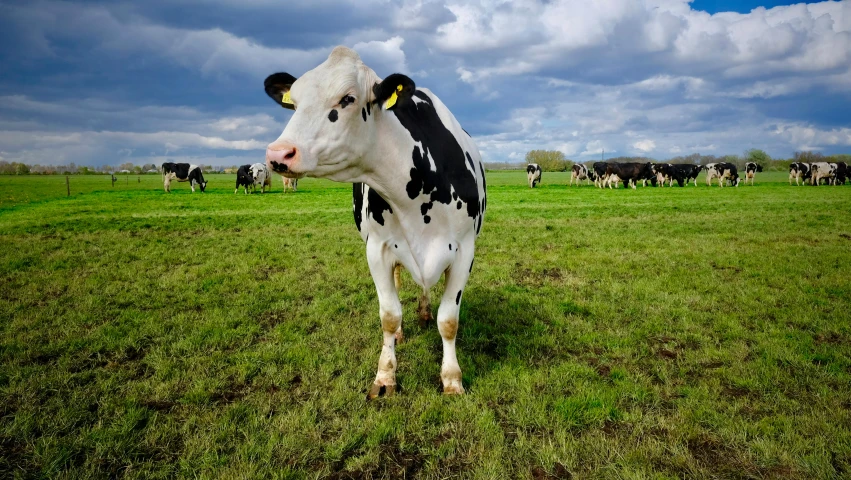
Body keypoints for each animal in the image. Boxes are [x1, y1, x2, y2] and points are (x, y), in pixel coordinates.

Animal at [262, 47, 486, 396]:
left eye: (348, 98)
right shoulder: (377, 250)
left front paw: (452, 379)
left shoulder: (464, 250)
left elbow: (448, 320)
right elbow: (389, 315)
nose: (278, 154)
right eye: (294, 102)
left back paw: (424, 312)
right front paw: (385, 377)